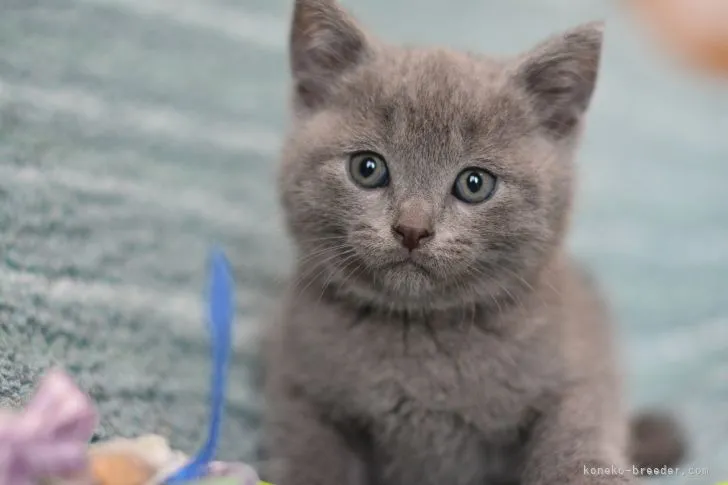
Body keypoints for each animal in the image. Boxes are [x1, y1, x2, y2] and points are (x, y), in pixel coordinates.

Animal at [262, 0, 684, 484]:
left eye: (474, 184)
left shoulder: (582, 371)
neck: (422, 334)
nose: (412, 229)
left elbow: (577, 441)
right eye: (367, 168)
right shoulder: (300, 391)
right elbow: (312, 459)